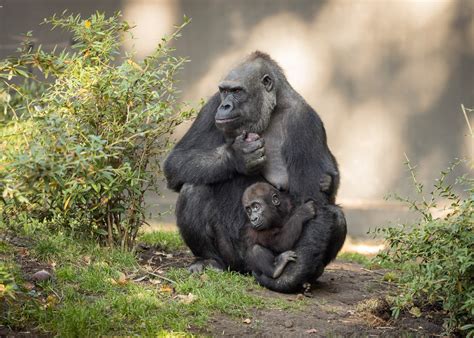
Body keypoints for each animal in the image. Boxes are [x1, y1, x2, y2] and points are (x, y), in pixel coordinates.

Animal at [165, 51, 346, 292]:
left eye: (237, 91)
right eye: (224, 91)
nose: (225, 106)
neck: (274, 108)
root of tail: (245, 271)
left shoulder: (305, 122)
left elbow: (315, 202)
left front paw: (289, 278)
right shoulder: (212, 105)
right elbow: (176, 161)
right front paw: (236, 156)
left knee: (337, 217)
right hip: (233, 260)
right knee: (194, 188)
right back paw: (208, 260)